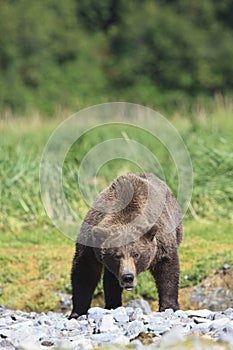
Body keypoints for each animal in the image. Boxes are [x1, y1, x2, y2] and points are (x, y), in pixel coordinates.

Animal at [68, 174, 183, 318]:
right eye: (116, 255)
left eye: (136, 254)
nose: (128, 277)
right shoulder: (90, 241)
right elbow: (85, 270)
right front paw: (77, 312)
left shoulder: (162, 241)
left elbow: (167, 270)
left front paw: (169, 306)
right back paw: (112, 305)